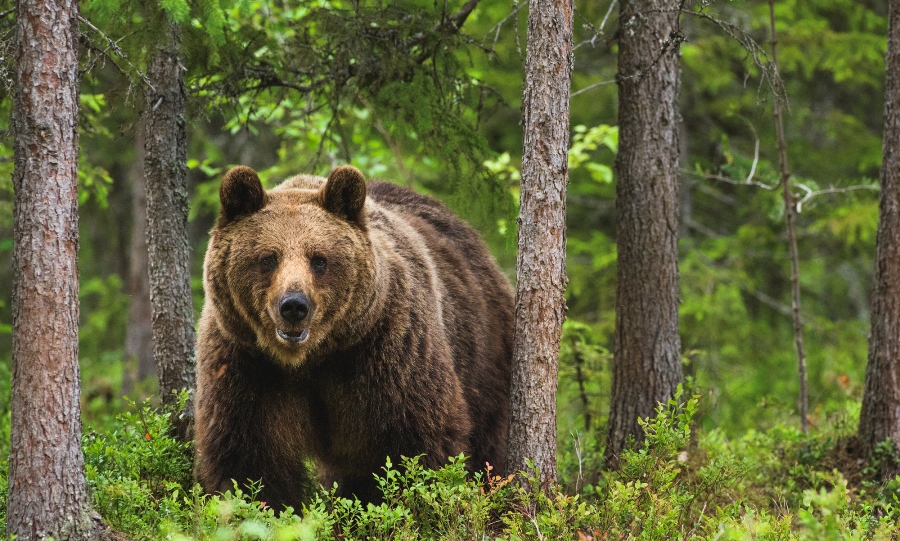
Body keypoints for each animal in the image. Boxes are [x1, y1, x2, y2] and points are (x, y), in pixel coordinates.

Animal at [193, 166, 510, 510]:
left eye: (319, 259)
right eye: (268, 258)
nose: (294, 306)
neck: (312, 358)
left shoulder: (387, 351)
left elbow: (416, 448)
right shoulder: (246, 365)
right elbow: (249, 462)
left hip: (484, 353)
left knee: (488, 445)